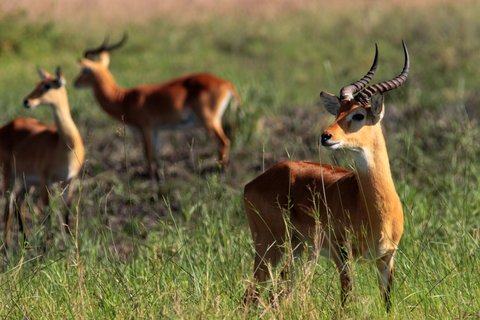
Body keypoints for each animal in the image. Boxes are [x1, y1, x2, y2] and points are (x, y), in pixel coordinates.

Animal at [1, 67, 84, 248]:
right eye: (37, 83)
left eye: (47, 85)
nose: (27, 101)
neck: (64, 144)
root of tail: (6, 126)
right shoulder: (46, 180)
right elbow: (47, 213)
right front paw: (49, 244)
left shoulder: (70, 180)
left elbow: (66, 213)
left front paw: (68, 242)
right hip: (10, 174)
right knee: (7, 203)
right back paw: (7, 244)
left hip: (27, 181)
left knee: (17, 203)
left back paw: (25, 241)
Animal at [72, 35, 240, 180]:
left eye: (84, 70)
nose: (75, 82)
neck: (124, 98)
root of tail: (226, 83)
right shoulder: (156, 130)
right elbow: (156, 154)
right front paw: (158, 175)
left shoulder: (145, 128)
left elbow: (148, 153)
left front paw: (151, 177)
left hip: (209, 121)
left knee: (224, 142)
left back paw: (221, 171)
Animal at [244, 41, 408, 312]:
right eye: (338, 112)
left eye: (358, 115)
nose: (325, 136)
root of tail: (252, 184)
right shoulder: (343, 254)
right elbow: (346, 299)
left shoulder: (387, 258)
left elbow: (387, 302)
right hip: (271, 246)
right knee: (252, 294)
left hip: (299, 249)